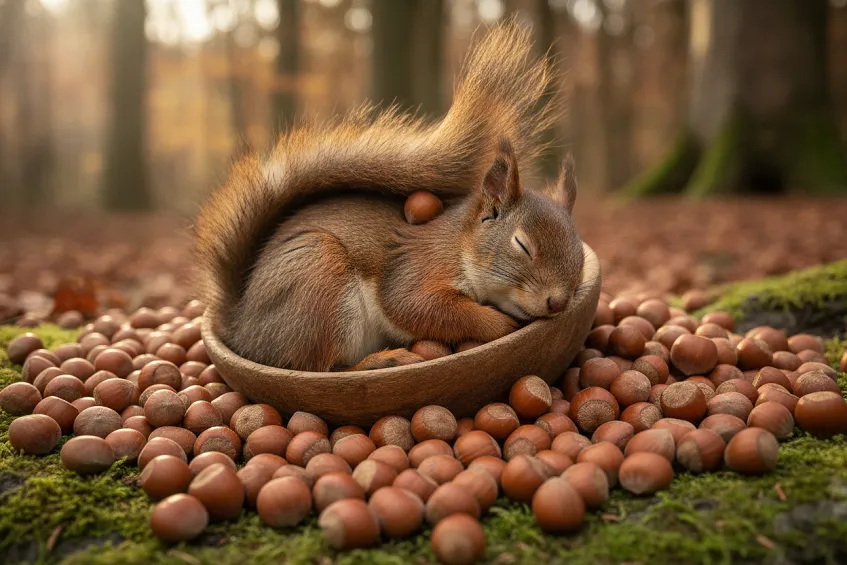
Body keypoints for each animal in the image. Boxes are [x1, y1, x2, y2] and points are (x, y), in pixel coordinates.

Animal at [192, 19, 586, 372]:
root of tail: (243, 329)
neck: (460, 244)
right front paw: (499, 325)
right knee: (320, 367)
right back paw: (384, 360)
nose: (557, 302)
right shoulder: (418, 266)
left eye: (580, 257)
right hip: (316, 282)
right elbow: (419, 306)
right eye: (522, 246)